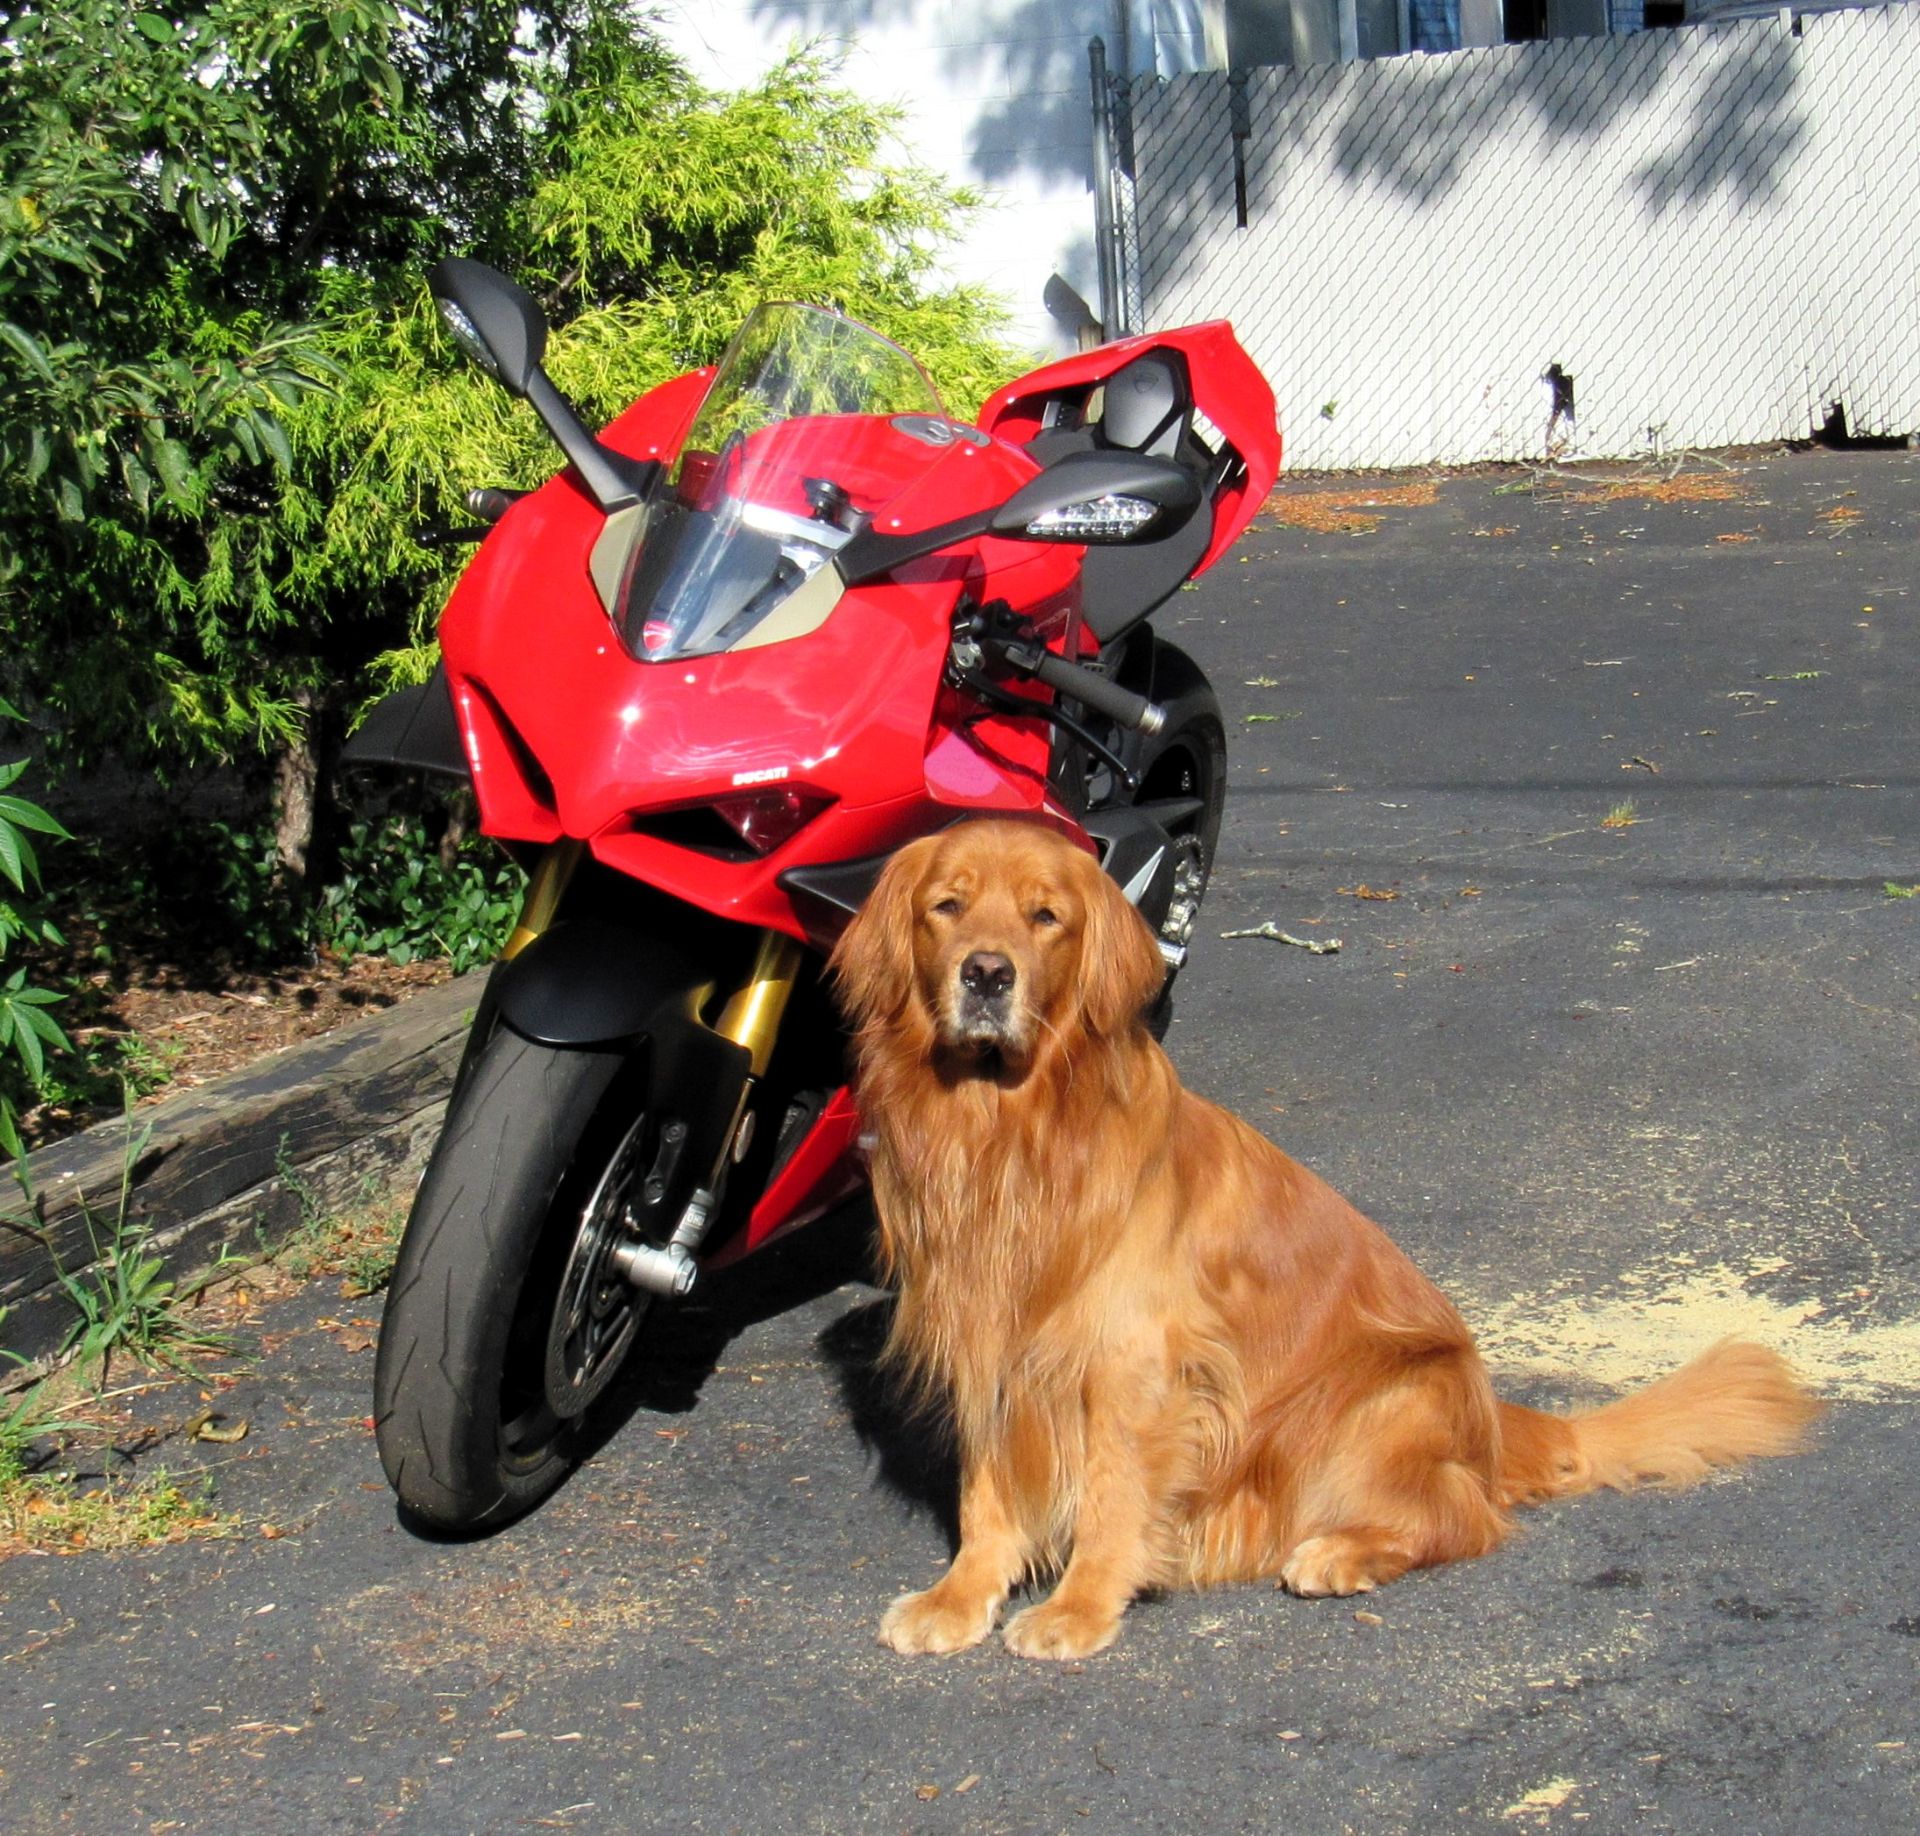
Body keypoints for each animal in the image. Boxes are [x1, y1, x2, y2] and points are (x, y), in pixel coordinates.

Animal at [833, 821, 1820, 1666]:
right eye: (948, 906)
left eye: (1047, 917)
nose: (986, 975)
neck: (1010, 1136)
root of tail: (1496, 1422)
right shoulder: (992, 1343)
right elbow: (987, 1494)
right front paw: (960, 1596)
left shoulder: (1134, 1365)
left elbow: (1114, 1496)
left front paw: (1077, 1608)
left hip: (1374, 1403)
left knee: (1465, 1516)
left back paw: (1340, 1553)